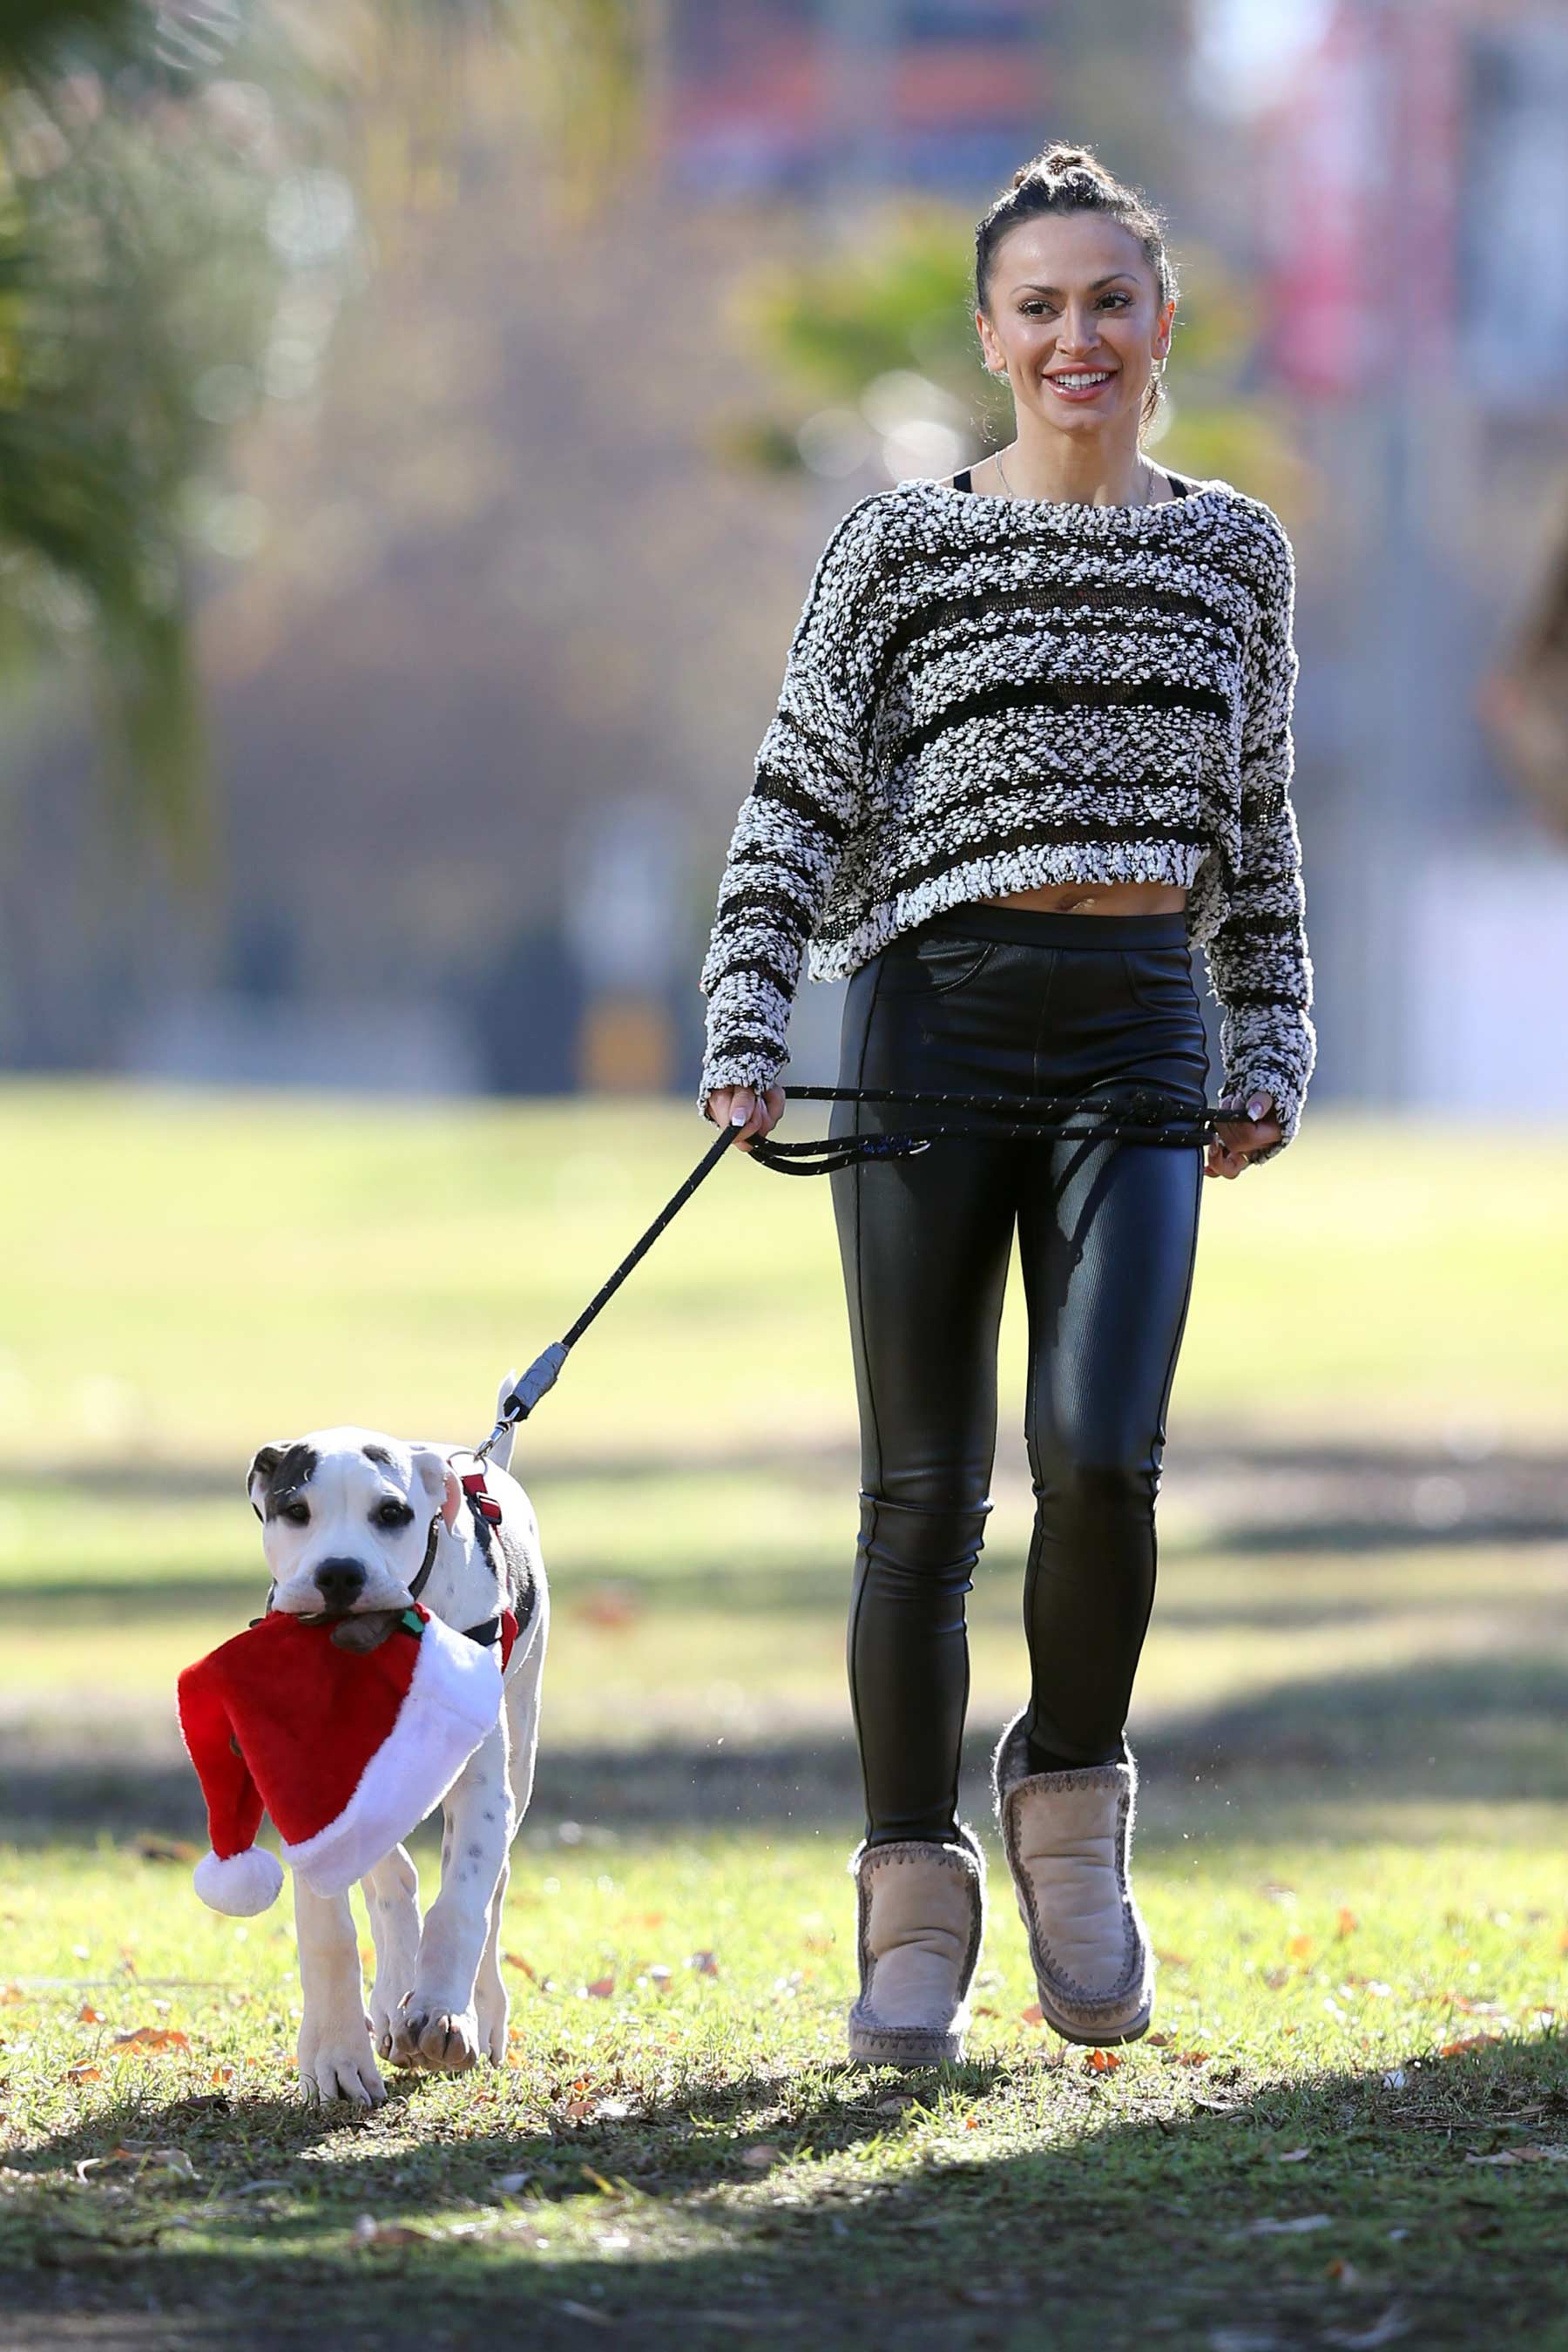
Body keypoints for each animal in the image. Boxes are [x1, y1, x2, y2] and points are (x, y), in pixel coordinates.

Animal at [240, 1373, 545, 2107]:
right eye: (295, 1511)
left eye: (391, 1513)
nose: (340, 1574)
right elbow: (333, 1929)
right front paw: (336, 2055)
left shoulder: (481, 1781)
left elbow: (462, 1897)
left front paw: (442, 2011)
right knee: (392, 1877)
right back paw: (388, 2002)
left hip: (520, 1746)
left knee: (492, 1884)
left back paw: (481, 2011)